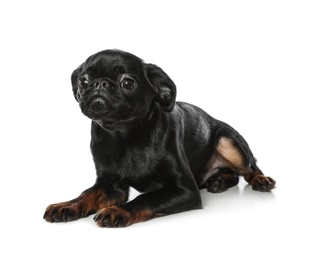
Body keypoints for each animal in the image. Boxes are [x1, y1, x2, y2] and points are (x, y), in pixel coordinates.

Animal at [44, 49, 276, 226]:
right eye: (83, 81)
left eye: (127, 83)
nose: (100, 83)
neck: (124, 137)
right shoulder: (109, 185)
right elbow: (87, 194)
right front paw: (67, 205)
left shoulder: (185, 190)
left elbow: (147, 198)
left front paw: (118, 211)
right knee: (233, 175)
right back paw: (218, 181)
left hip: (228, 142)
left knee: (250, 168)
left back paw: (259, 180)